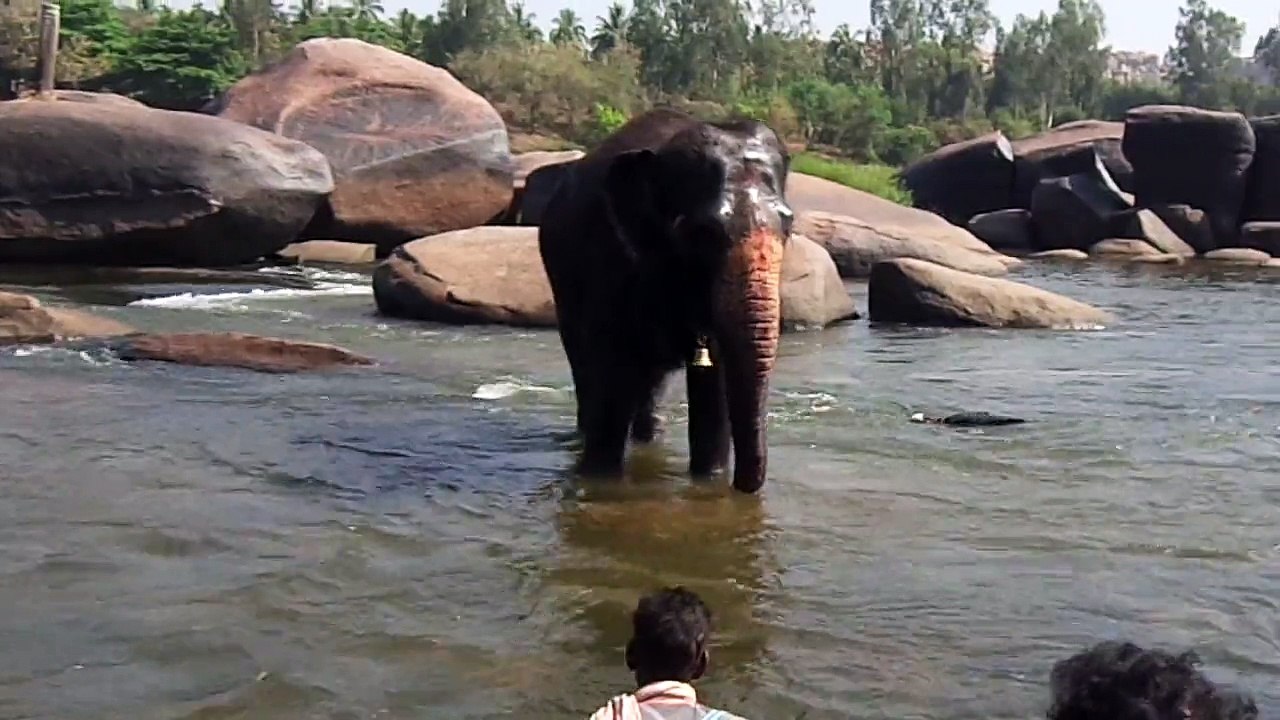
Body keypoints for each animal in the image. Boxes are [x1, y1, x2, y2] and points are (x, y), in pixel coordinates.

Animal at [537, 108, 794, 494]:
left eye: (789, 226)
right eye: (703, 233)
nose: (742, 487)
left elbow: (714, 381)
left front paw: (709, 480)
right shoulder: (607, 261)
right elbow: (612, 371)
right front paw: (600, 482)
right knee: (585, 366)